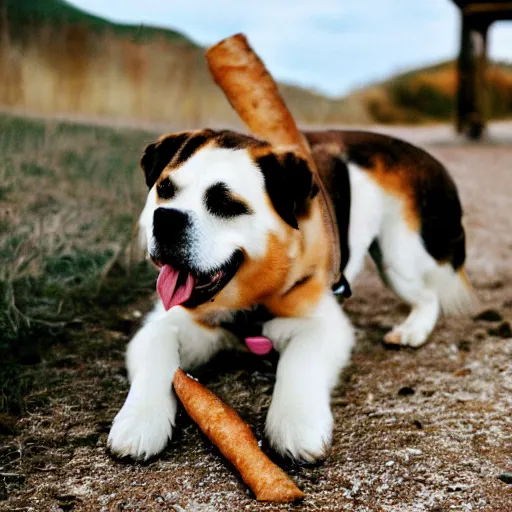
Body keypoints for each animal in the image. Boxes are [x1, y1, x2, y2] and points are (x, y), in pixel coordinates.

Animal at [107, 129, 472, 464]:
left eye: (226, 205)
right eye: (165, 190)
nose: (166, 219)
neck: (249, 296)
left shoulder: (324, 323)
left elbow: (300, 361)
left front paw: (297, 423)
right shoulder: (164, 324)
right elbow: (157, 356)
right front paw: (139, 420)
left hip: (398, 258)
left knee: (429, 295)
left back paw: (412, 330)